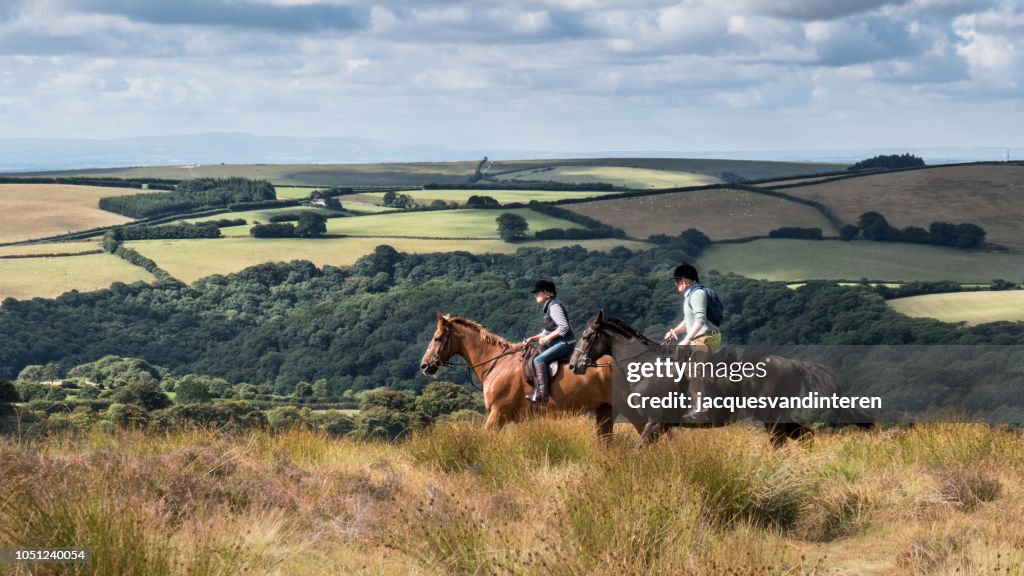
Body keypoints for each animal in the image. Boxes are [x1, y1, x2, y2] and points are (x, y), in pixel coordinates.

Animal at [565, 311, 851, 446]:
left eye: (587, 336)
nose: (573, 365)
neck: (646, 366)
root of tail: (792, 363)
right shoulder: (661, 426)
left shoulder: (654, 422)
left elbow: (638, 449)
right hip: (779, 416)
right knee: (805, 436)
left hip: (771, 417)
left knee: (783, 442)